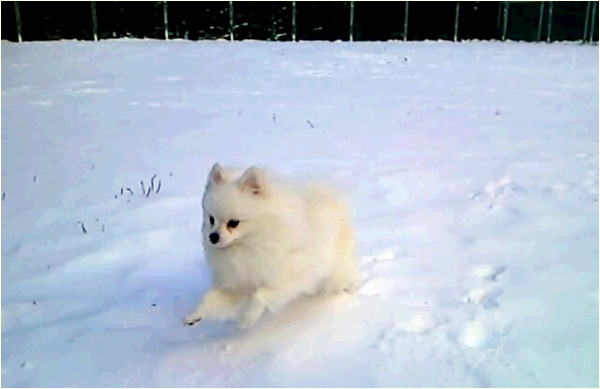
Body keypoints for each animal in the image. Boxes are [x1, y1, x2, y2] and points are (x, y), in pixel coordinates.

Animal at [184, 164, 360, 328]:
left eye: (233, 223)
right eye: (211, 219)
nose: (212, 237)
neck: (250, 245)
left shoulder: (287, 279)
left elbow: (259, 296)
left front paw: (247, 318)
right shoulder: (238, 282)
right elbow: (209, 297)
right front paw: (194, 315)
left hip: (334, 271)